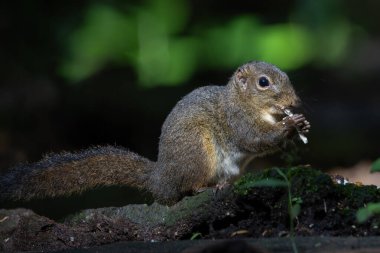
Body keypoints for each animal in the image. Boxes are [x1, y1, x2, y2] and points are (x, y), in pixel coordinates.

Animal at [0, 61, 308, 206]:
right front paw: (289, 126)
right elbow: (254, 139)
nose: (295, 102)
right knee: (188, 187)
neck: (243, 102)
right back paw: (208, 187)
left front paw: (300, 124)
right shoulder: (237, 120)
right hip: (198, 151)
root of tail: (160, 179)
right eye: (263, 82)